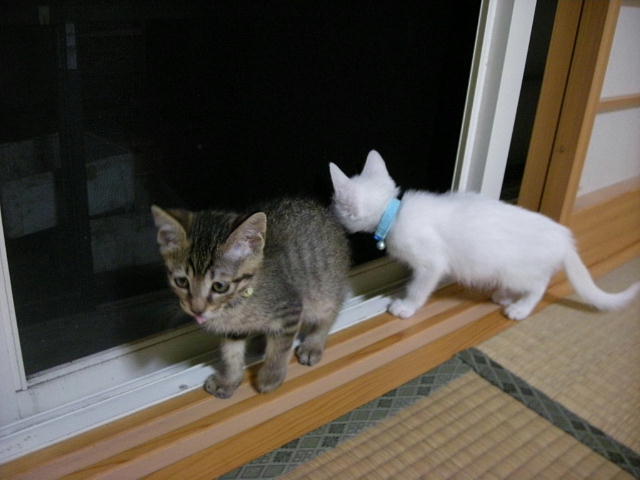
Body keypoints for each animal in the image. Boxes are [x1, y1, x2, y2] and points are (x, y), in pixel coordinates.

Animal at [151, 198, 350, 398]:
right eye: (182, 281)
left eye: (219, 286)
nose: (196, 309)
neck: (235, 304)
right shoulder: (231, 331)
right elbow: (230, 355)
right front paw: (229, 380)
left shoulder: (290, 307)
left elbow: (280, 349)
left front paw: (271, 377)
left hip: (324, 289)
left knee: (328, 314)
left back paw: (313, 344)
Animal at [329, 150, 640, 321]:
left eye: (334, 202)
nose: (329, 210)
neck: (393, 213)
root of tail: (564, 236)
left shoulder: (432, 263)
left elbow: (419, 287)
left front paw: (406, 306)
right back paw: (504, 296)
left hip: (518, 269)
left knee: (539, 285)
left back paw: (520, 308)